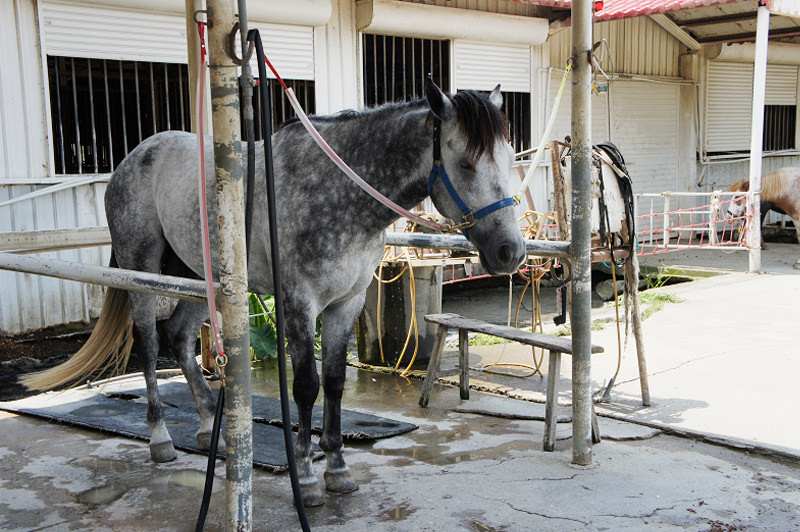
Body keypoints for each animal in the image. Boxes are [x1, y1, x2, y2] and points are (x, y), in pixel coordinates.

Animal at [21, 79, 526, 507]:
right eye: (466, 164)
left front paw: (338, 469)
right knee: (147, 344)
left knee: (179, 338)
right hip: (141, 268)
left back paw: (210, 429)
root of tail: (136, 155)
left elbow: (335, 384)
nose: (511, 252)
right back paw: (162, 440)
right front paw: (306, 476)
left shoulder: (346, 304)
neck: (338, 191)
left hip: (200, 277)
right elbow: (305, 387)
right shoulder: (300, 304)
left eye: (510, 160)